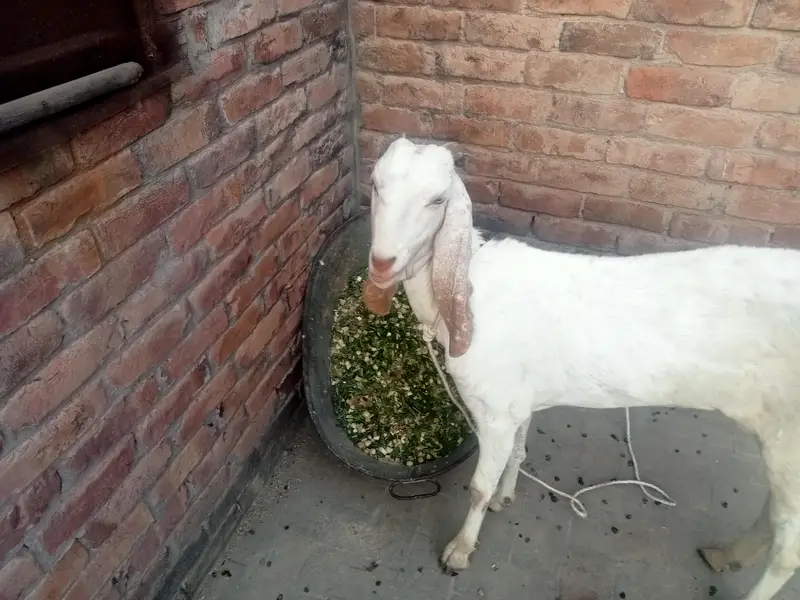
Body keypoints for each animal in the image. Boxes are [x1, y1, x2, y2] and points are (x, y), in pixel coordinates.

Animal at [363, 138, 800, 600]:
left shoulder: (495, 411)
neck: (470, 290)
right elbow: (518, 452)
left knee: (788, 551)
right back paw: (724, 555)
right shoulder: (519, 401)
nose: (382, 263)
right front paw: (505, 497)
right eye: (375, 184)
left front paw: (460, 551)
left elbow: (479, 487)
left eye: (437, 200)